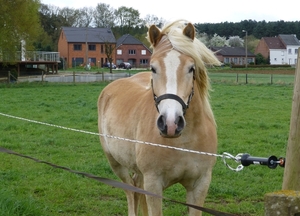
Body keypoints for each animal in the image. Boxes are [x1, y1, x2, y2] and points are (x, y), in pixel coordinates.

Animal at [98, 19, 220, 215]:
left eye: (191, 68)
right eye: (153, 68)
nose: (171, 124)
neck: (183, 142)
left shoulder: (200, 185)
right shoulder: (153, 185)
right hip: (116, 164)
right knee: (130, 192)